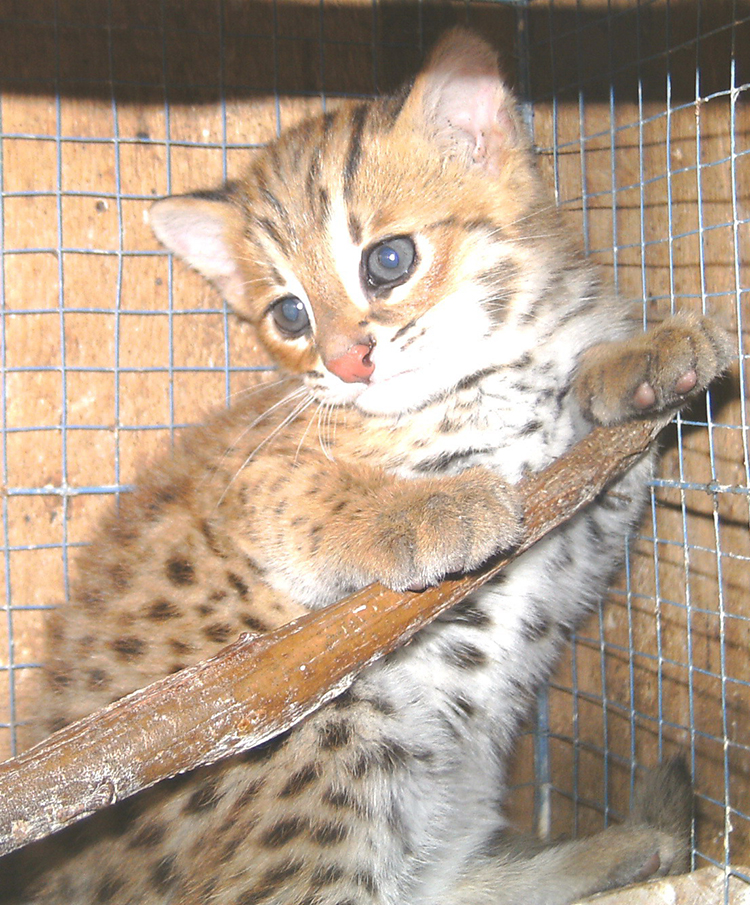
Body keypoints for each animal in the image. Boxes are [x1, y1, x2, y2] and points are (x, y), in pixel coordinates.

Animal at [0, 26, 728, 904]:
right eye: (289, 315)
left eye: (388, 262)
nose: (346, 364)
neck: (496, 367)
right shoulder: (251, 481)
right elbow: (320, 491)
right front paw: (429, 508)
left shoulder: (578, 520)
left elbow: (598, 431)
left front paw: (637, 358)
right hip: (331, 740)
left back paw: (629, 847)